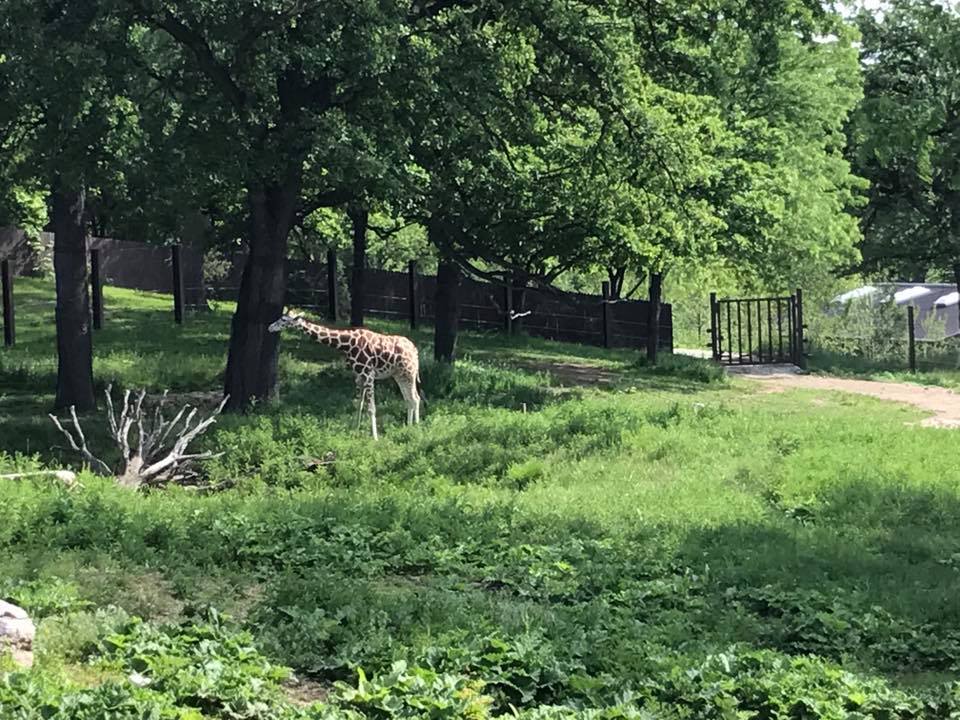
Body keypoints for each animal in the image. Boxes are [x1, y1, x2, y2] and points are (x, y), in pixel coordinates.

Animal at [268, 309, 421, 440]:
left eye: (283, 319)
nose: (270, 327)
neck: (348, 344)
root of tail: (415, 350)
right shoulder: (358, 376)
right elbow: (359, 405)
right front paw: (355, 430)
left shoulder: (369, 374)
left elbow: (371, 408)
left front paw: (375, 438)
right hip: (399, 375)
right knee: (409, 399)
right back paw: (408, 427)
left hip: (409, 372)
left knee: (415, 398)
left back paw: (416, 428)